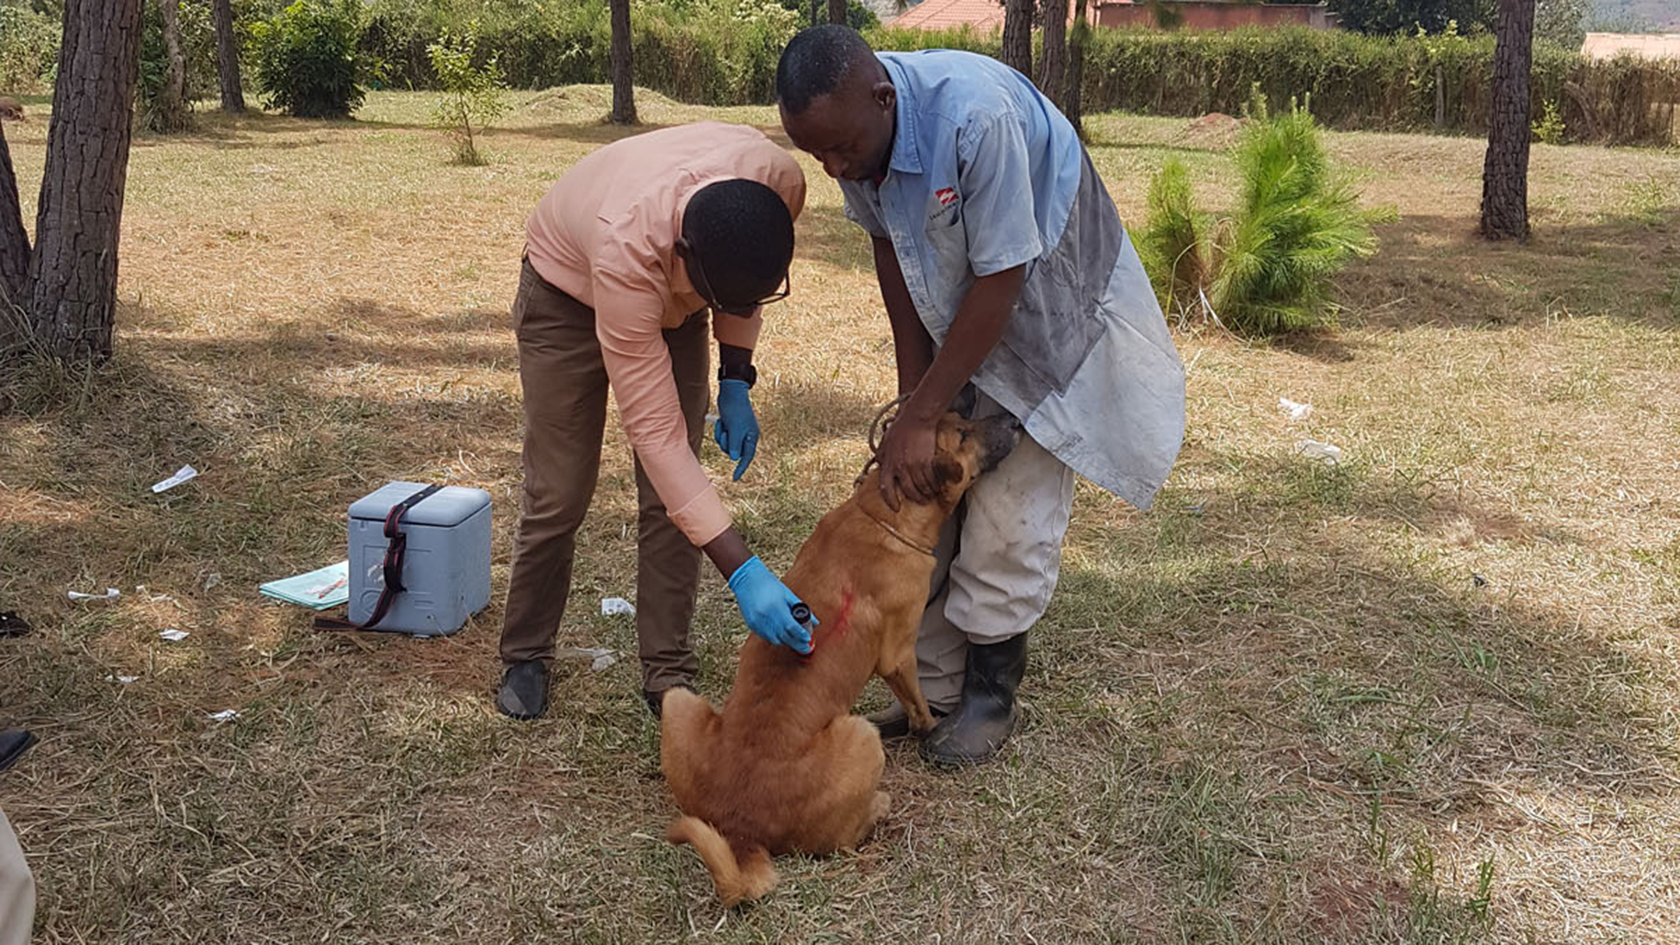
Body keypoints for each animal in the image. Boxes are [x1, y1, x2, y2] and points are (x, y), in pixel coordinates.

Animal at [661, 411, 1014, 908]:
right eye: (963, 433)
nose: (1015, 420)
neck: (883, 516)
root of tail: (742, 831)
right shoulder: (898, 654)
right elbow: (918, 703)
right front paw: (928, 728)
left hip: (678, 702)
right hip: (861, 736)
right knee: (847, 837)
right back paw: (879, 807)